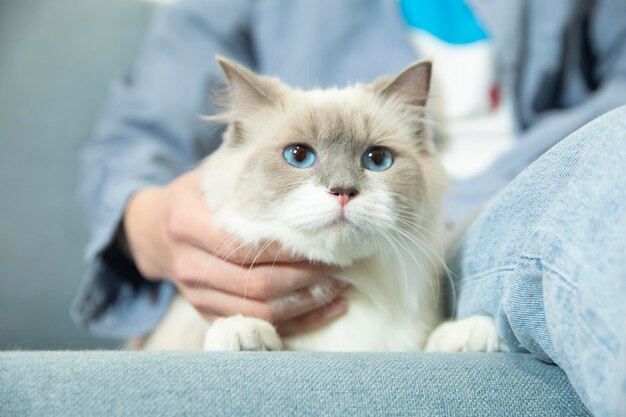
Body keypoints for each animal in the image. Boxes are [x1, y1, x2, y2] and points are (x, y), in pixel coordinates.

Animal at [139, 56, 504, 352]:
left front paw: (471, 333)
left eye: (377, 159)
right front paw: (242, 332)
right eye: (299, 156)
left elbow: (436, 340)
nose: (343, 191)